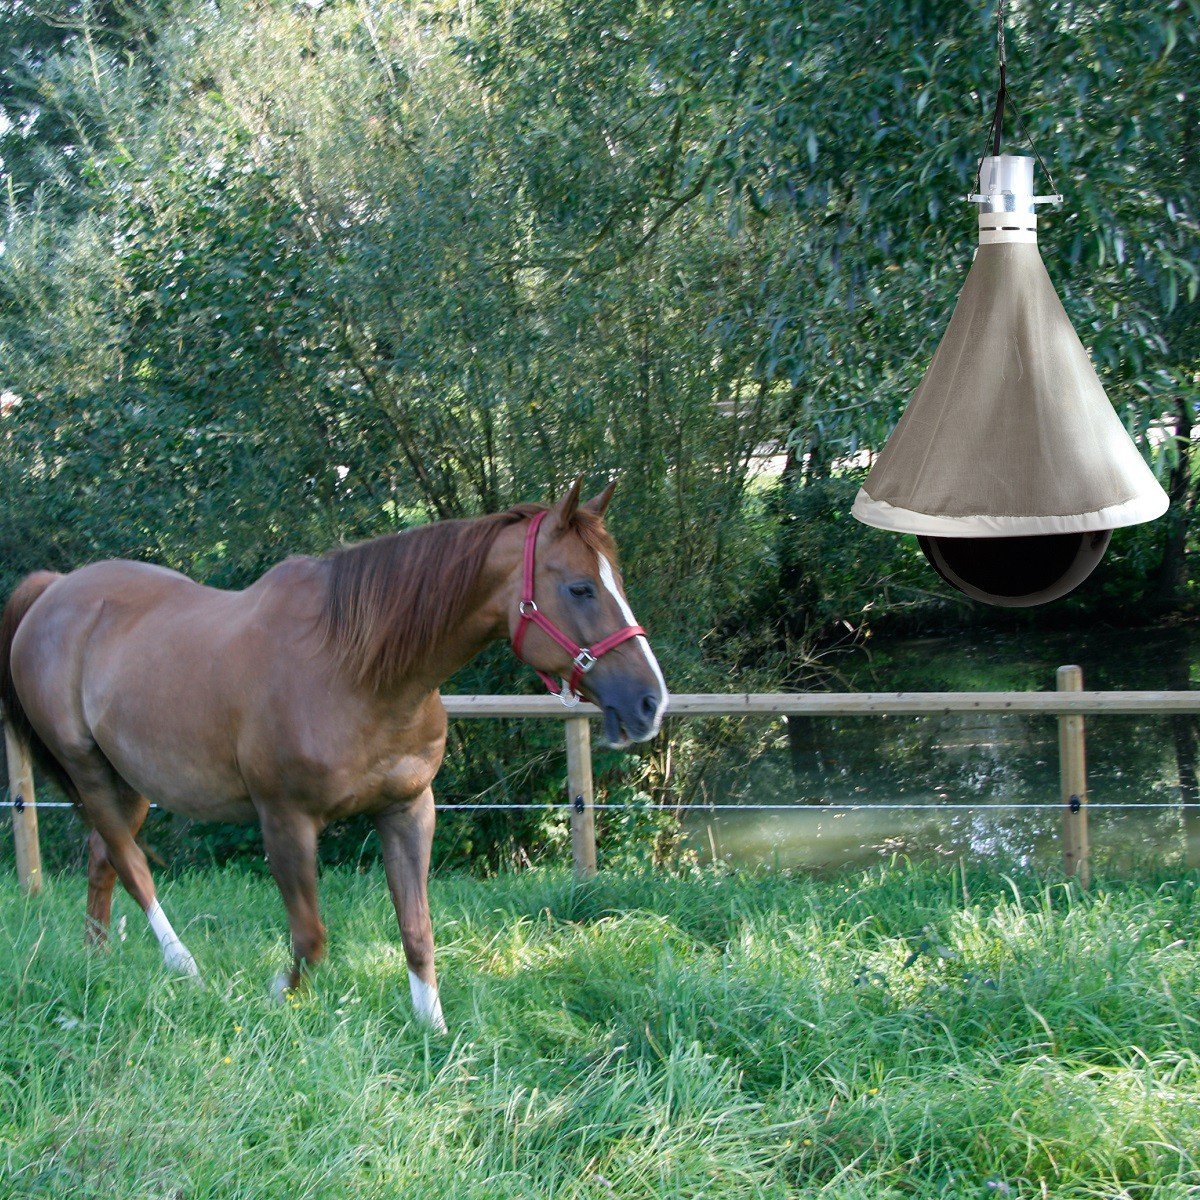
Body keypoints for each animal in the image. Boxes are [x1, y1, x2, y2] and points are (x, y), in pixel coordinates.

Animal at [0, 479, 667, 1030]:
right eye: (579, 587)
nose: (650, 702)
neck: (358, 671)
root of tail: (54, 591)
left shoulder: (408, 809)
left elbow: (417, 931)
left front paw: (433, 1031)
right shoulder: (285, 821)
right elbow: (312, 936)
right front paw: (280, 993)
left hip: (134, 779)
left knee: (101, 858)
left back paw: (98, 961)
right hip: (88, 769)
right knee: (130, 863)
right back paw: (181, 964)